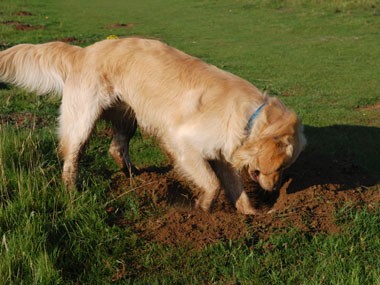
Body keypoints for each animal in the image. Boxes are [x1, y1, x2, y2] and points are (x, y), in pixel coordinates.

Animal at [0, 38, 306, 214]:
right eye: (279, 167)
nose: (275, 190)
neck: (249, 118)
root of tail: (82, 52)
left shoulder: (224, 156)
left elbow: (235, 188)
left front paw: (251, 215)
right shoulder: (182, 143)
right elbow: (213, 184)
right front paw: (203, 209)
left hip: (128, 117)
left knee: (116, 148)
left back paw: (135, 176)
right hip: (82, 120)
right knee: (71, 157)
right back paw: (72, 192)